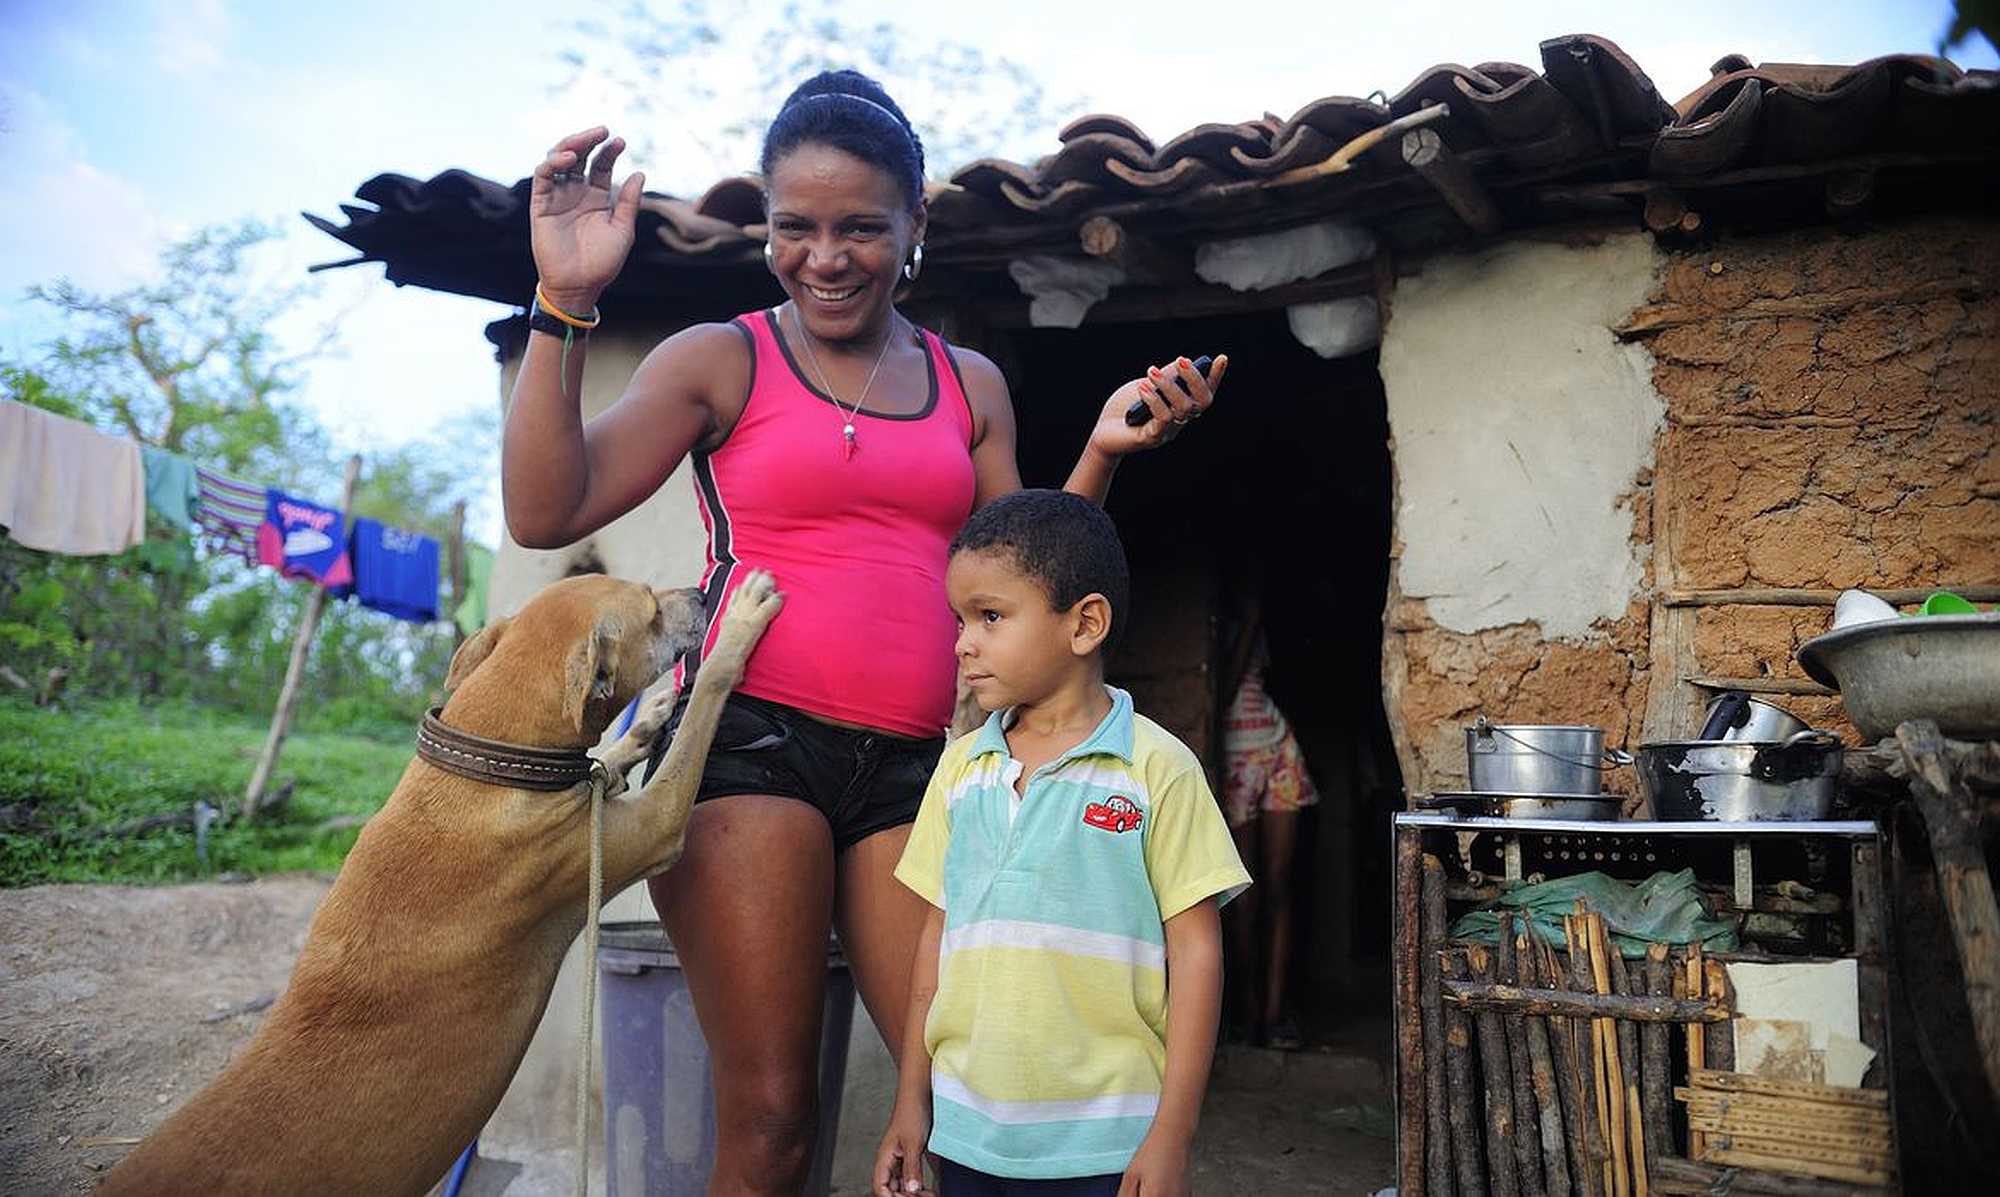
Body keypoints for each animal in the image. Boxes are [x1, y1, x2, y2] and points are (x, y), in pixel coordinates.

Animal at [101, 572, 784, 1197]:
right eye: (647, 607)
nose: (700, 593)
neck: (489, 760)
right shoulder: (654, 827)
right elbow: (701, 713)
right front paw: (739, 628)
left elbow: (611, 762)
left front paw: (645, 724)